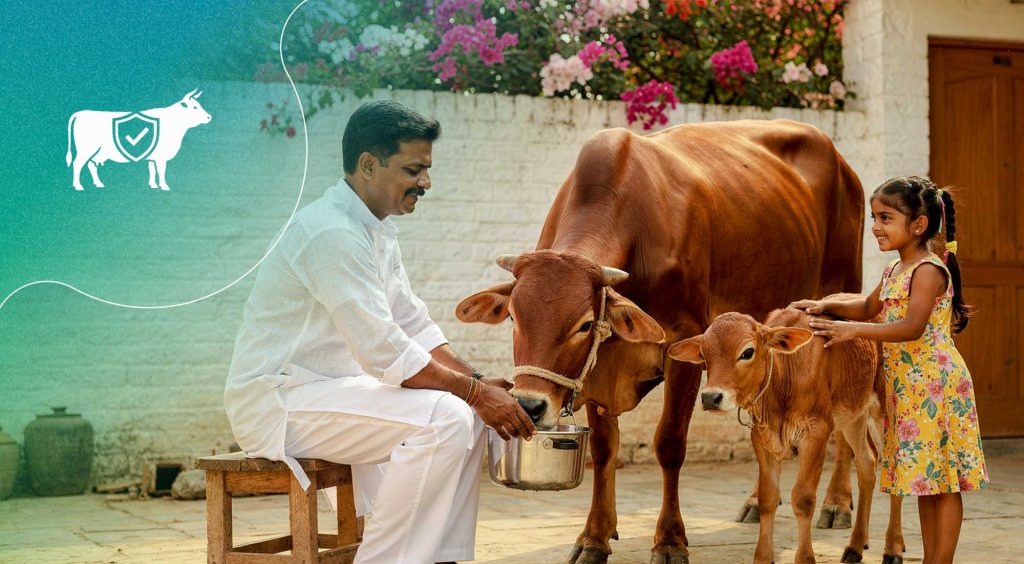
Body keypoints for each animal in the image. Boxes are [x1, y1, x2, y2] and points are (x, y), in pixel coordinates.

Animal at [66, 89, 211, 191]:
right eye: (195, 107)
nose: (209, 117)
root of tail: (81, 113)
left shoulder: (153, 156)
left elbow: (152, 169)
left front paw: (153, 185)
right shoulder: (161, 157)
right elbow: (161, 171)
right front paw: (164, 186)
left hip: (96, 152)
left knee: (91, 165)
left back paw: (98, 184)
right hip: (86, 149)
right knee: (77, 164)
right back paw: (78, 186)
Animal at [456, 120, 864, 563]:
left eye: (584, 324)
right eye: (514, 316)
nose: (530, 407)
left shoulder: (684, 346)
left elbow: (669, 444)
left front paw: (669, 539)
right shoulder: (599, 369)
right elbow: (604, 448)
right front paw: (595, 536)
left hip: (841, 300)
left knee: (845, 424)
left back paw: (837, 504)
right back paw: (757, 502)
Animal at [667, 307, 905, 564]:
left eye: (747, 352)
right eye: (703, 353)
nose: (711, 397)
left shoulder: (817, 433)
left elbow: (803, 499)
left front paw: (805, 558)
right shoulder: (762, 438)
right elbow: (768, 498)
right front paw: (762, 557)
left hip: (886, 412)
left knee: (894, 471)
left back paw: (893, 549)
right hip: (854, 415)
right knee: (867, 464)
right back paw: (855, 546)